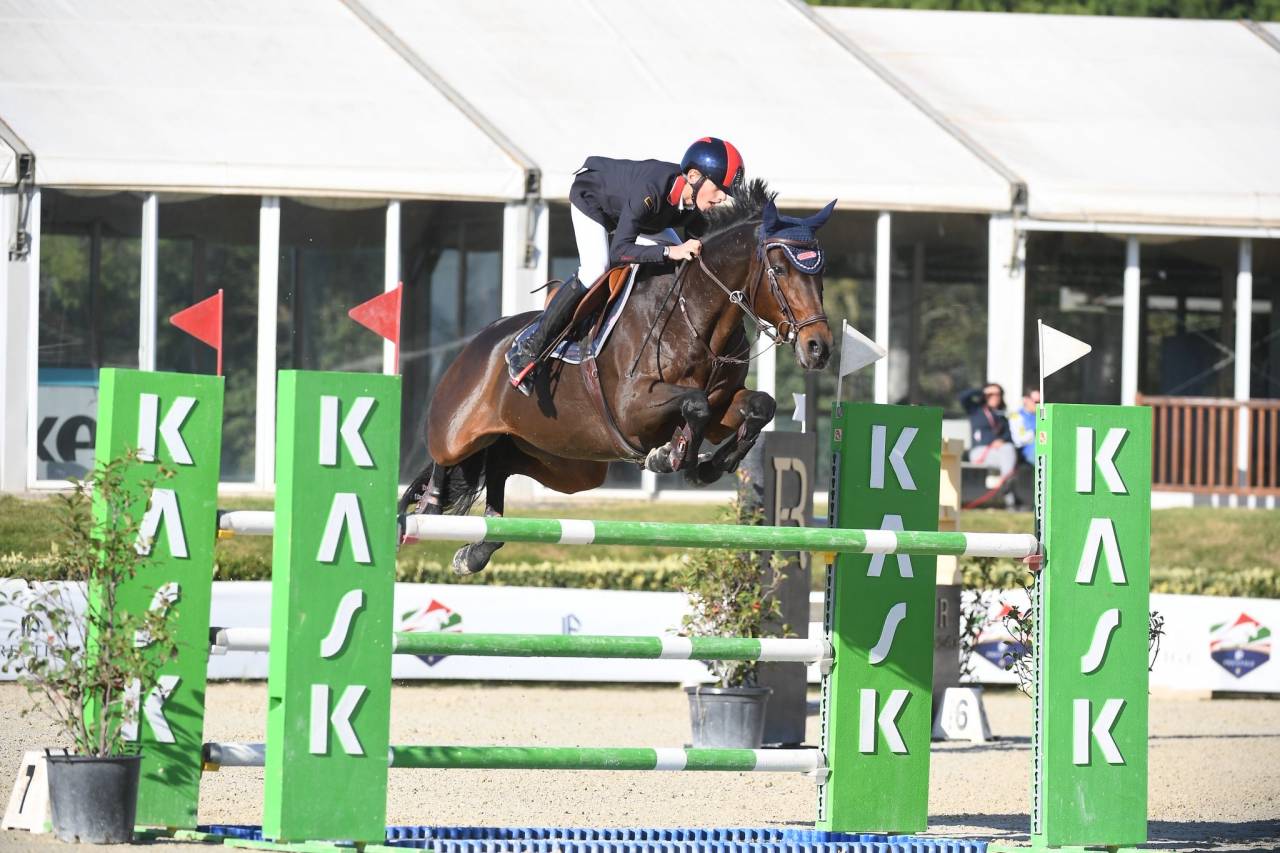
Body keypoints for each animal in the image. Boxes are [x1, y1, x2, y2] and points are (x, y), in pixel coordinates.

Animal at [399, 180, 836, 574]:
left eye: (820, 273)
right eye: (779, 268)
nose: (819, 348)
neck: (694, 316)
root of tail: (480, 342)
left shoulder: (721, 406)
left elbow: (759, 406)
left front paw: (707, 465)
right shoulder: (633, 407)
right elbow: (692, 405)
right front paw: (671, 455)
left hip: (565, 462)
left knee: (502, 462)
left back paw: (478, 549)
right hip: (460, 428)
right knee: (444, 458)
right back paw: (428, 508)